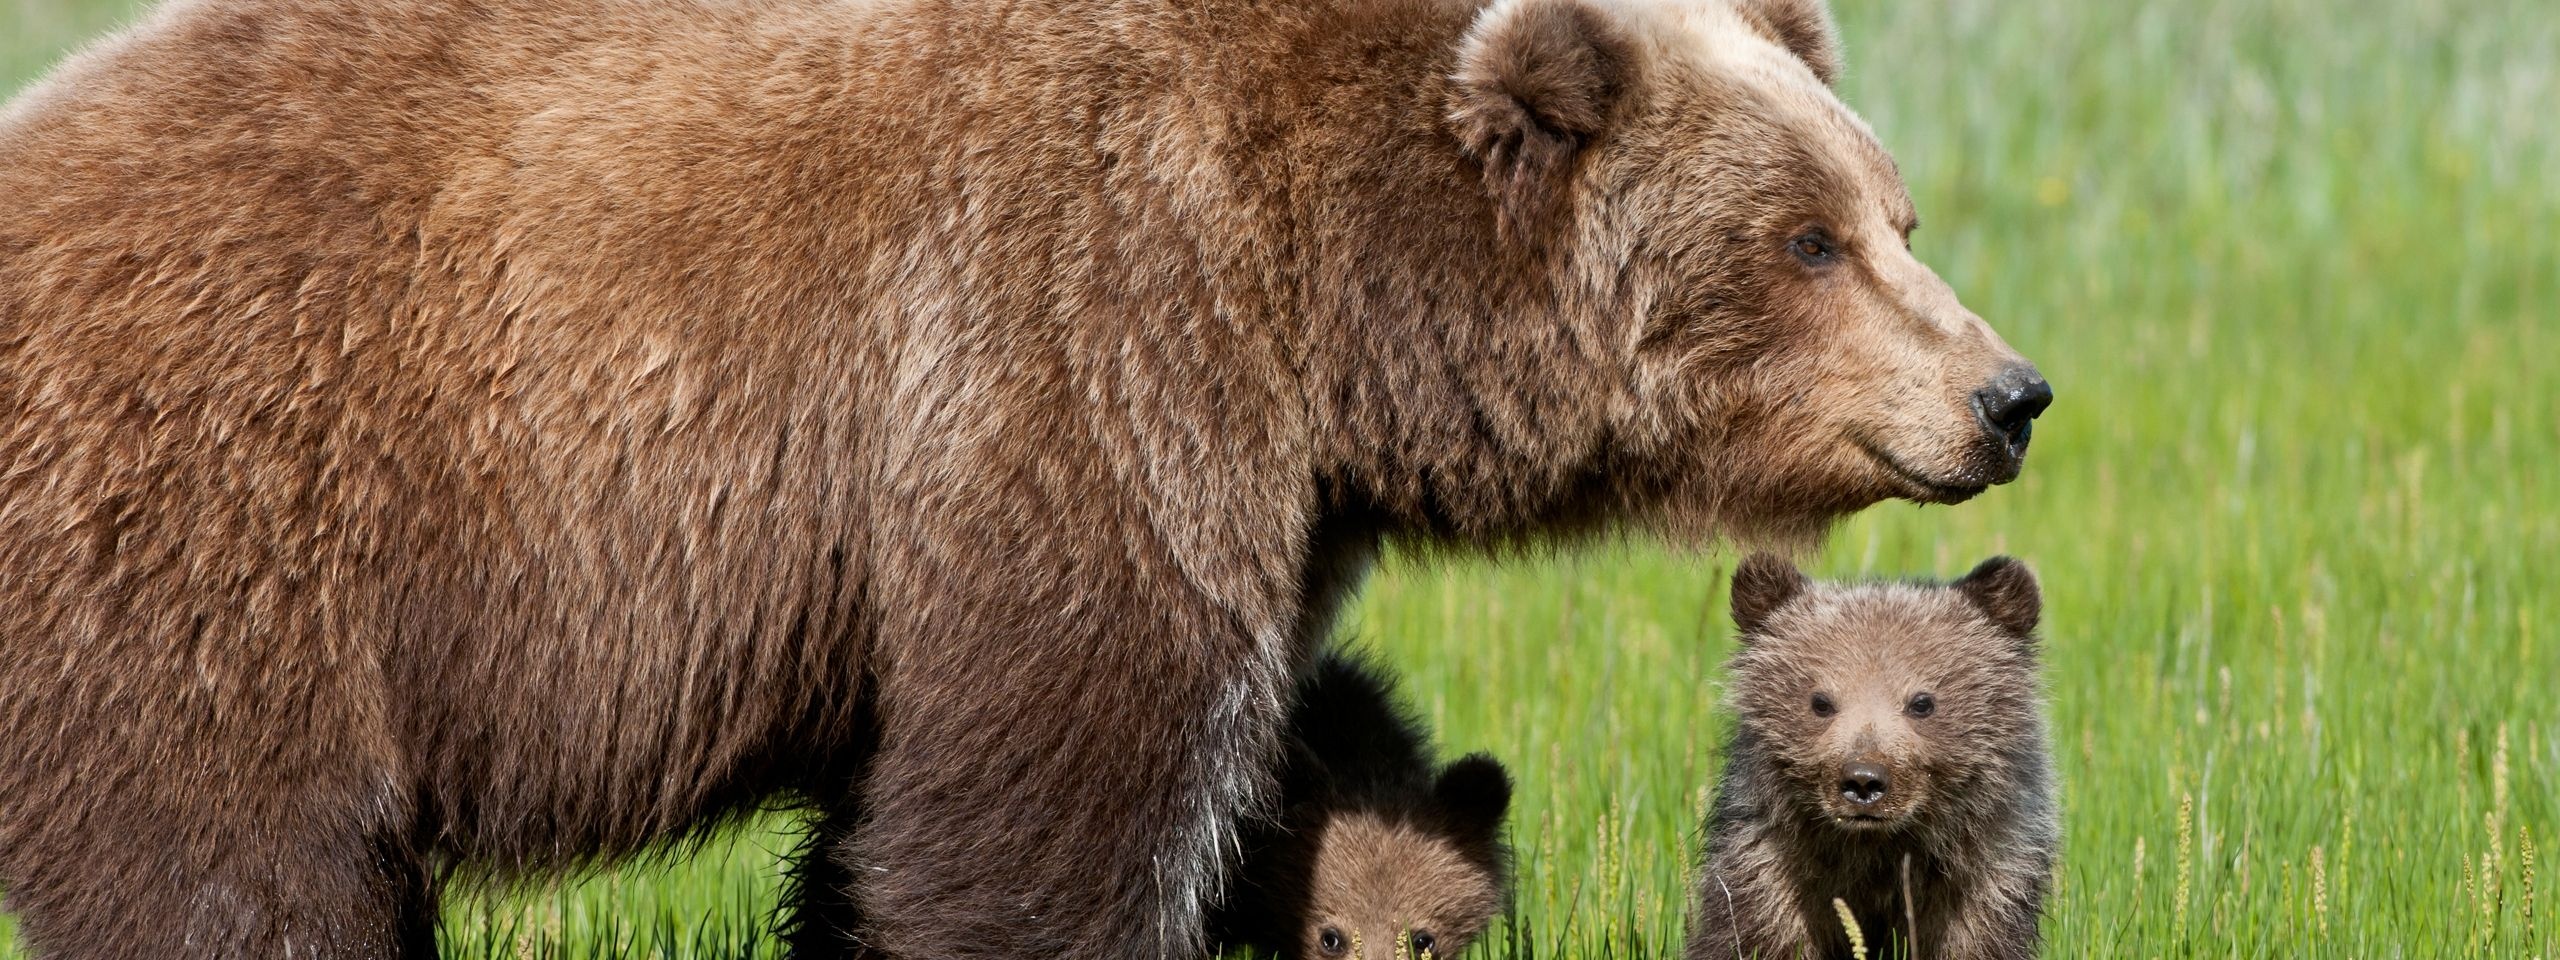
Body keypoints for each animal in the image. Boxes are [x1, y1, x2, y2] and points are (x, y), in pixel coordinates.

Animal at [1679, 555, 2058, 960]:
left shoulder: (1984, 879)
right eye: (1820, 701)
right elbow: (1751, 936)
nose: (1863, 780)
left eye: (1922, 702)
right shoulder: (1770, 872)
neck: (1875, 854)